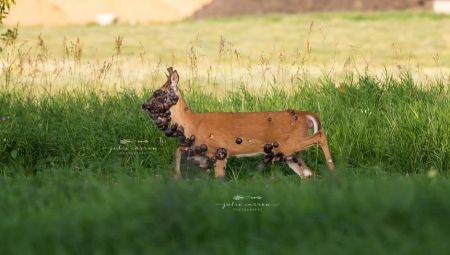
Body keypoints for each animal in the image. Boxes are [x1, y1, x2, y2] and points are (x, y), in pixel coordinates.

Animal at [142, 66, 336, 180]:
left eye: (158, 93)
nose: (143, 105)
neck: (194, 123)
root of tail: (305, 115)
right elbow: (178, 150)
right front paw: (176, 177)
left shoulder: (220, 149)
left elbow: (219, 178)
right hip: (290, 153)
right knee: (308, 174)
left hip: (289, 143)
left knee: (320, 136)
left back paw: (333, 170)